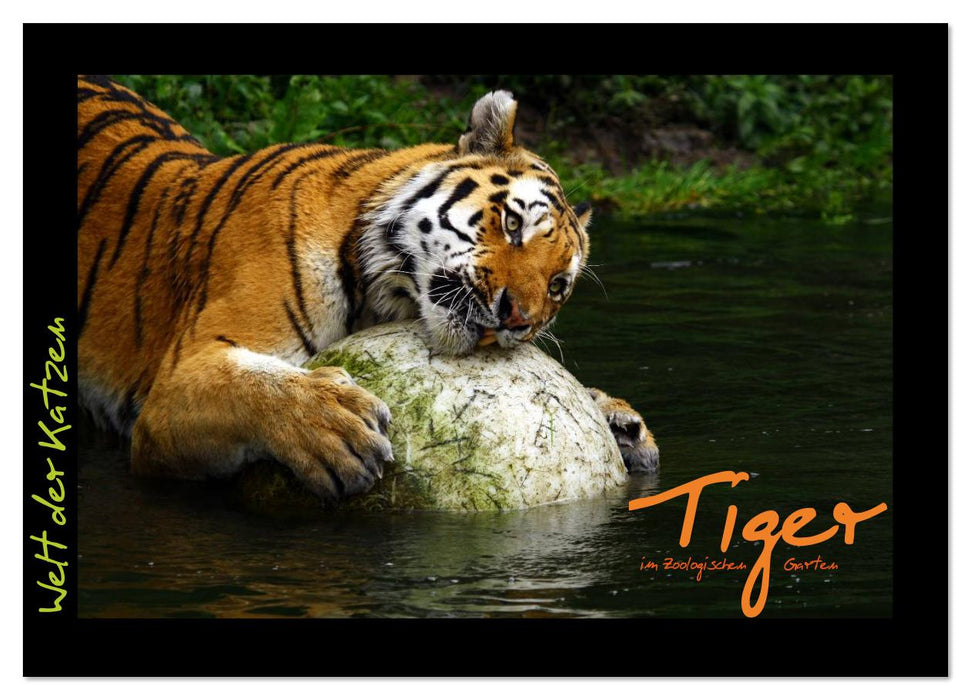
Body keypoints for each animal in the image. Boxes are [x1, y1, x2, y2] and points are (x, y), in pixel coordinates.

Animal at [77, 75, 659, 505]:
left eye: (558, 286)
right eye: (513, 224)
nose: (517, 318)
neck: (380, 293)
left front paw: (619, 421)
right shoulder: (172, 386)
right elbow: (250, 383)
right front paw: (335, 429)